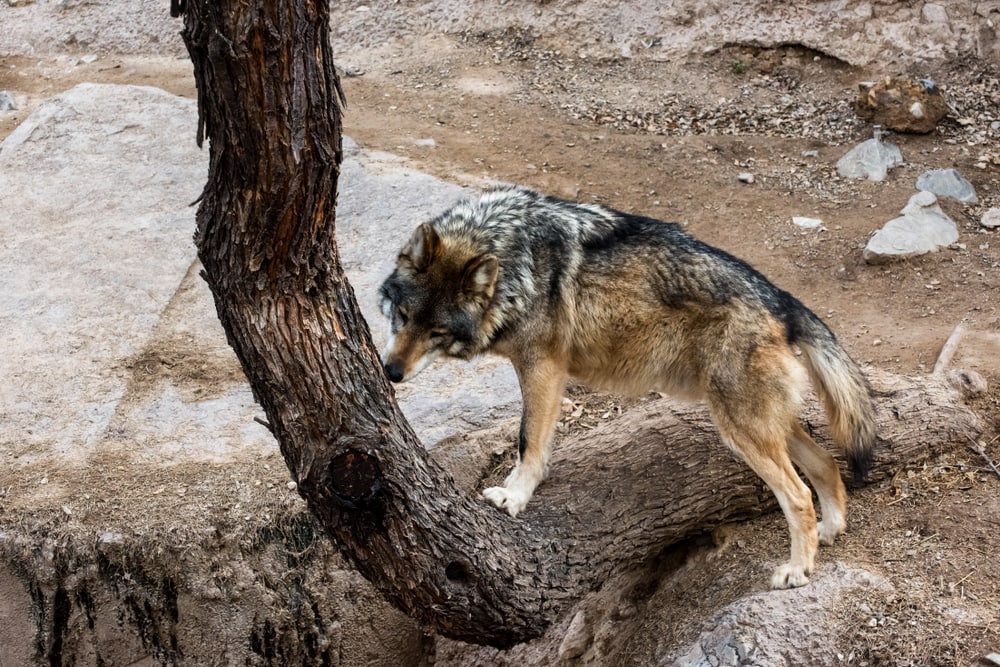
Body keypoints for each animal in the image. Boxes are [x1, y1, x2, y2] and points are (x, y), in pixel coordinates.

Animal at [378, 184, 876, 589]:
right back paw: (831, 530)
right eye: (403, 316)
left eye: (437, 333)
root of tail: (781, 298)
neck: (513, 253)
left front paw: (515, 497)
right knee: (826, 463)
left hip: (741, 430)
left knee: (798, 496)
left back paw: (798, 570)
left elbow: (527, 441)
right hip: (760, 424)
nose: (391, 372)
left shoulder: (543, 367)